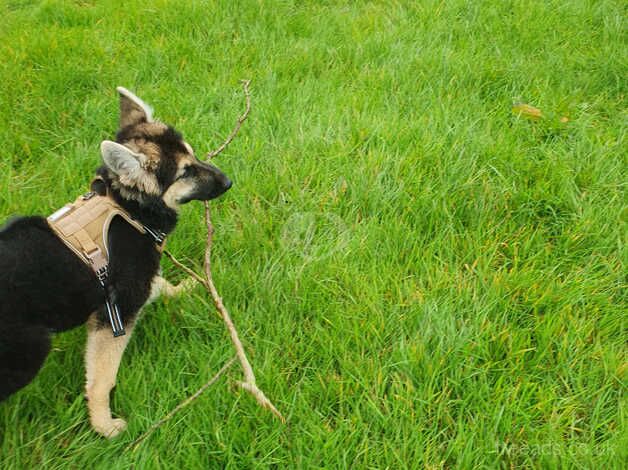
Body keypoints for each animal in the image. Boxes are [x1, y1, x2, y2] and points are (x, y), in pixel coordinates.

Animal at [0, 88, 233, 436]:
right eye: (185, 172)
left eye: (193, 157)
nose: (229, 181)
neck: (126, 207)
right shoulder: (115, 313)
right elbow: (101, 377)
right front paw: (104, 425)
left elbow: (159, 283)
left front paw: (182, 288)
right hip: (29, 348)